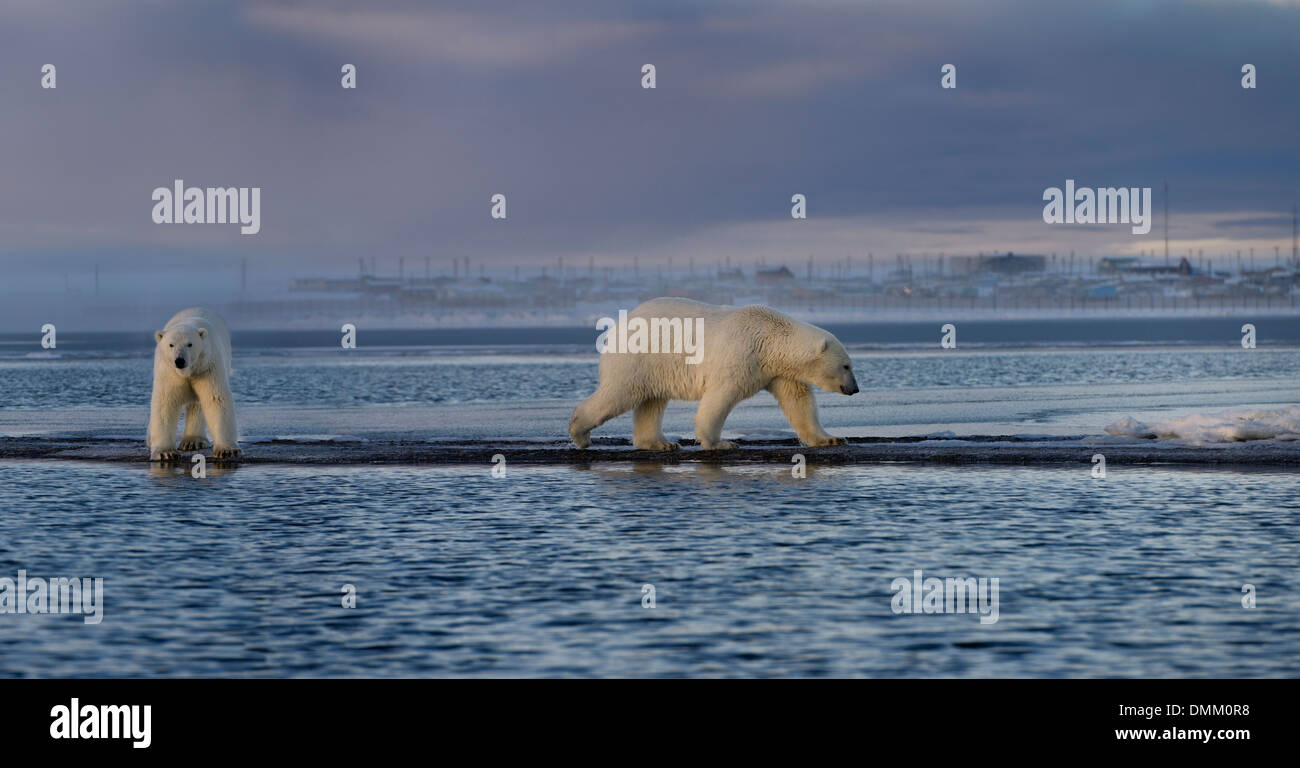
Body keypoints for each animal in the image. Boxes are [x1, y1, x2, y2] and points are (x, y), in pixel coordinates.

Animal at [147, 307, 241, 462]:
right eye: (171, 344)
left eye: (190, 344)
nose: (179, 360)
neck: (187, 372)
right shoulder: (169, 373)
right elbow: (166, 403)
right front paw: (165, 452)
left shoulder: (206, 368)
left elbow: (215, 399)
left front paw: (227, 450)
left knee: (197, 406)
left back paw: (193, 441)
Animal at [572, 296, 863, 449]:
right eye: (846, 366)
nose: (855, 388)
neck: (770, 339)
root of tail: (617, 327)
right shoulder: (742, 355)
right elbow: (721, 397)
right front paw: (720, 443)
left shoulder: (779, 373)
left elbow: (798, 403)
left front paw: (831, 439)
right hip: (639, 357)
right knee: (620, 394)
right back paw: (579, 433)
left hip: (655, 367)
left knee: (651, 401)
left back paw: (661, 443)